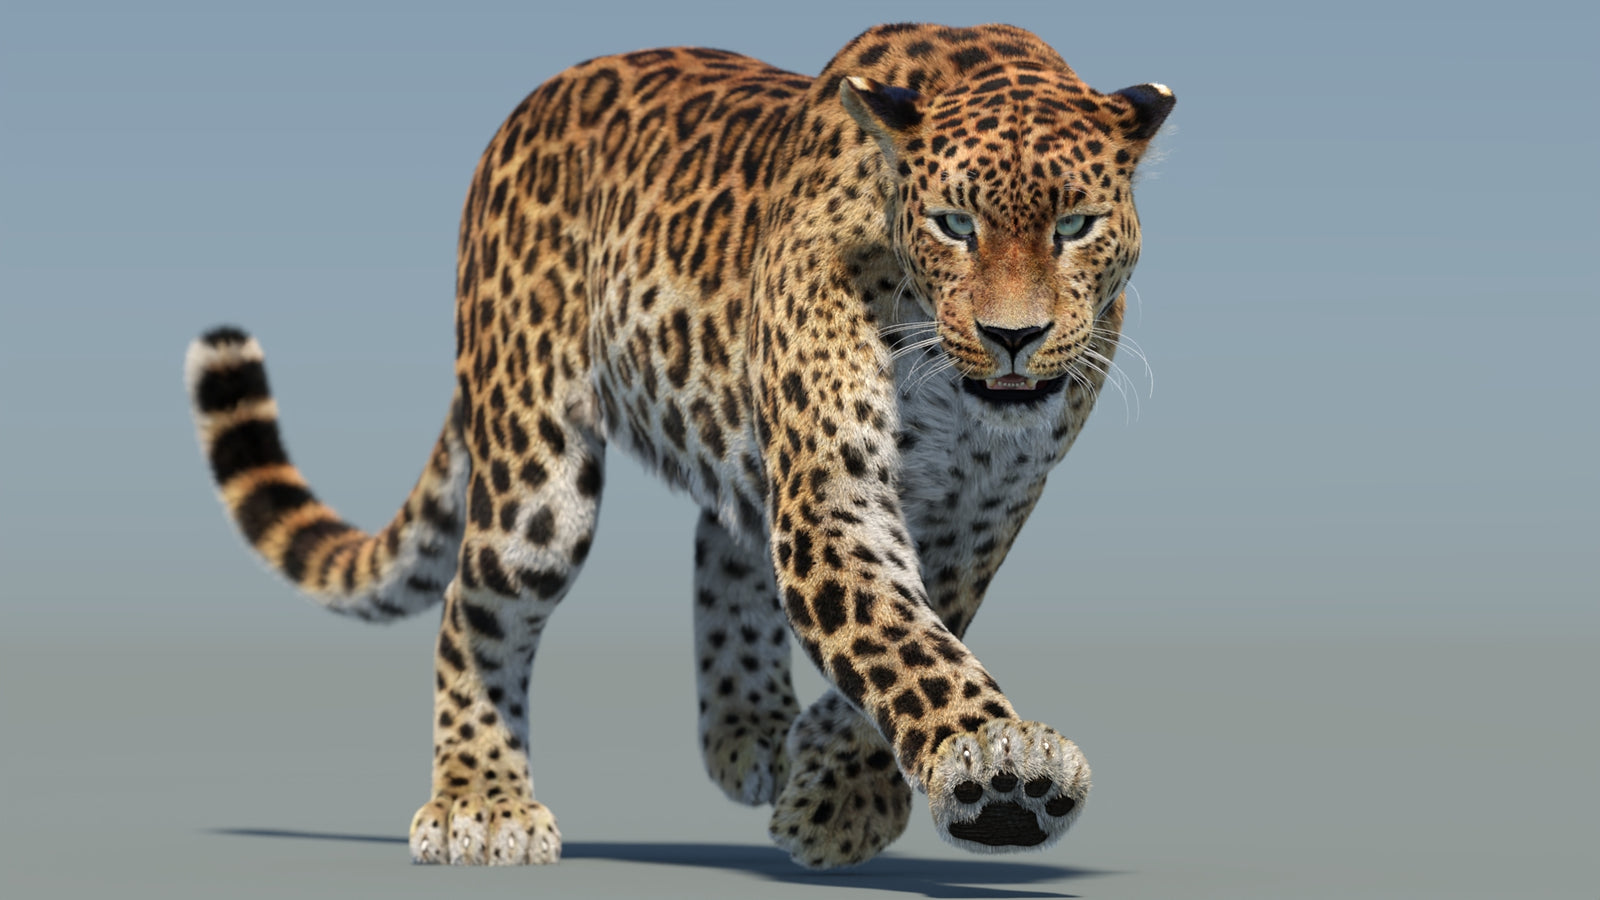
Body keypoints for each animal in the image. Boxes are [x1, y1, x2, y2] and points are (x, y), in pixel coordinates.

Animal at [184, 22, 1173, 869]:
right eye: (954, 225)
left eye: (1075, 226)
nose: (1015, 336)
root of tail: (527, 108)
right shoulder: (834, 496)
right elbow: (901, 641)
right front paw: (998, 768)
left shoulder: (979, 514)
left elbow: (924, 630)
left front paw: (841, 792)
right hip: (537, 474)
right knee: (474, 602)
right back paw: (482, 802)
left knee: (721, 542)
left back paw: (756, 732)